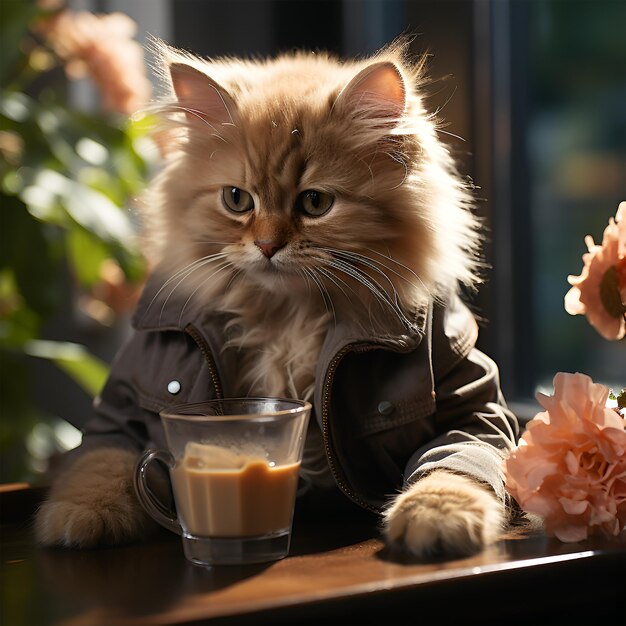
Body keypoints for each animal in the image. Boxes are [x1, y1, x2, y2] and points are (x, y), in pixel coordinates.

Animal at [34, 39, 516, 556]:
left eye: (315, 203)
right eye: (236, 199)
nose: (266, 246)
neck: (289, 315)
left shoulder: (468, 404)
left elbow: (454, 463)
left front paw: (438, 516)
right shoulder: (122, 409)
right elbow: (99, 461)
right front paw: (79, 514)